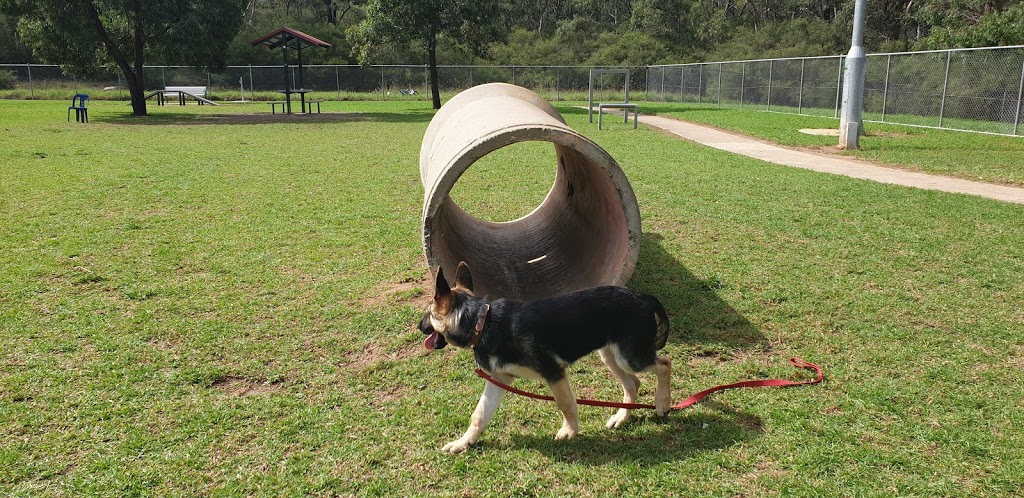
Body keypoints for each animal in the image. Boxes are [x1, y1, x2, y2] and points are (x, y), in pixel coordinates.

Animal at [417, 262, 671, 452]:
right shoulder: (499, 380)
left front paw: (569, 430)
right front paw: (464, 442)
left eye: (429, 313)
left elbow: (565, 404)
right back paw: (622, 417)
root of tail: (643, 297)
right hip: (611, 356)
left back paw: (662, 402)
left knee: (665, 364)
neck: (482, 322)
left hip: (631, 357)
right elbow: (479, 415)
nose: (419, 327)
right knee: (633, 382)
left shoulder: (553, 372)